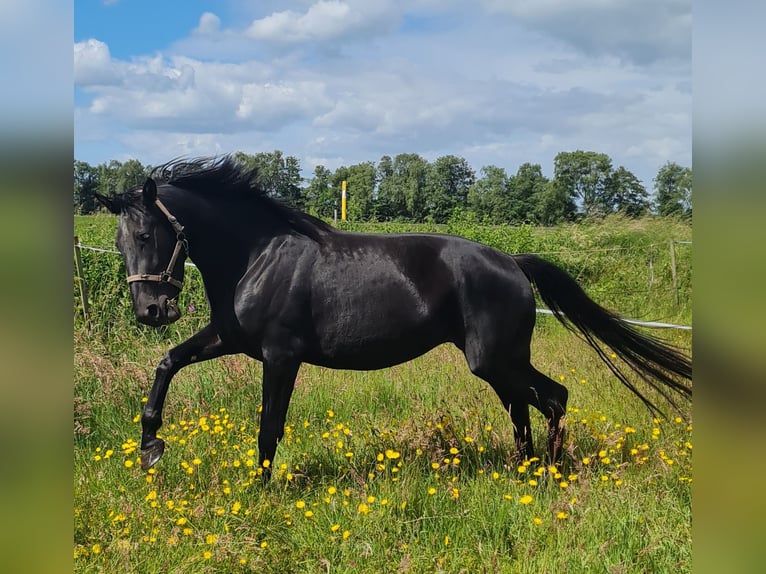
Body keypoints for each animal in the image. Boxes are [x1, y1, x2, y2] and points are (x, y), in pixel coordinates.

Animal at [94, 158, 688, 476]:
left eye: (145, 235)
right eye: (120, 242)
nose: (150, 310)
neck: (258, 254)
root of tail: (514, 263)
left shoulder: (280, 356)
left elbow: (268, 426)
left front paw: (261, 493)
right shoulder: (230, 337)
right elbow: (168, 362)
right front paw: (150, 446)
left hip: (494, 359)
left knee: (553, 397)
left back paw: (550, 473)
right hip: (500, 361)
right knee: (525, 406)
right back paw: (526, 471)